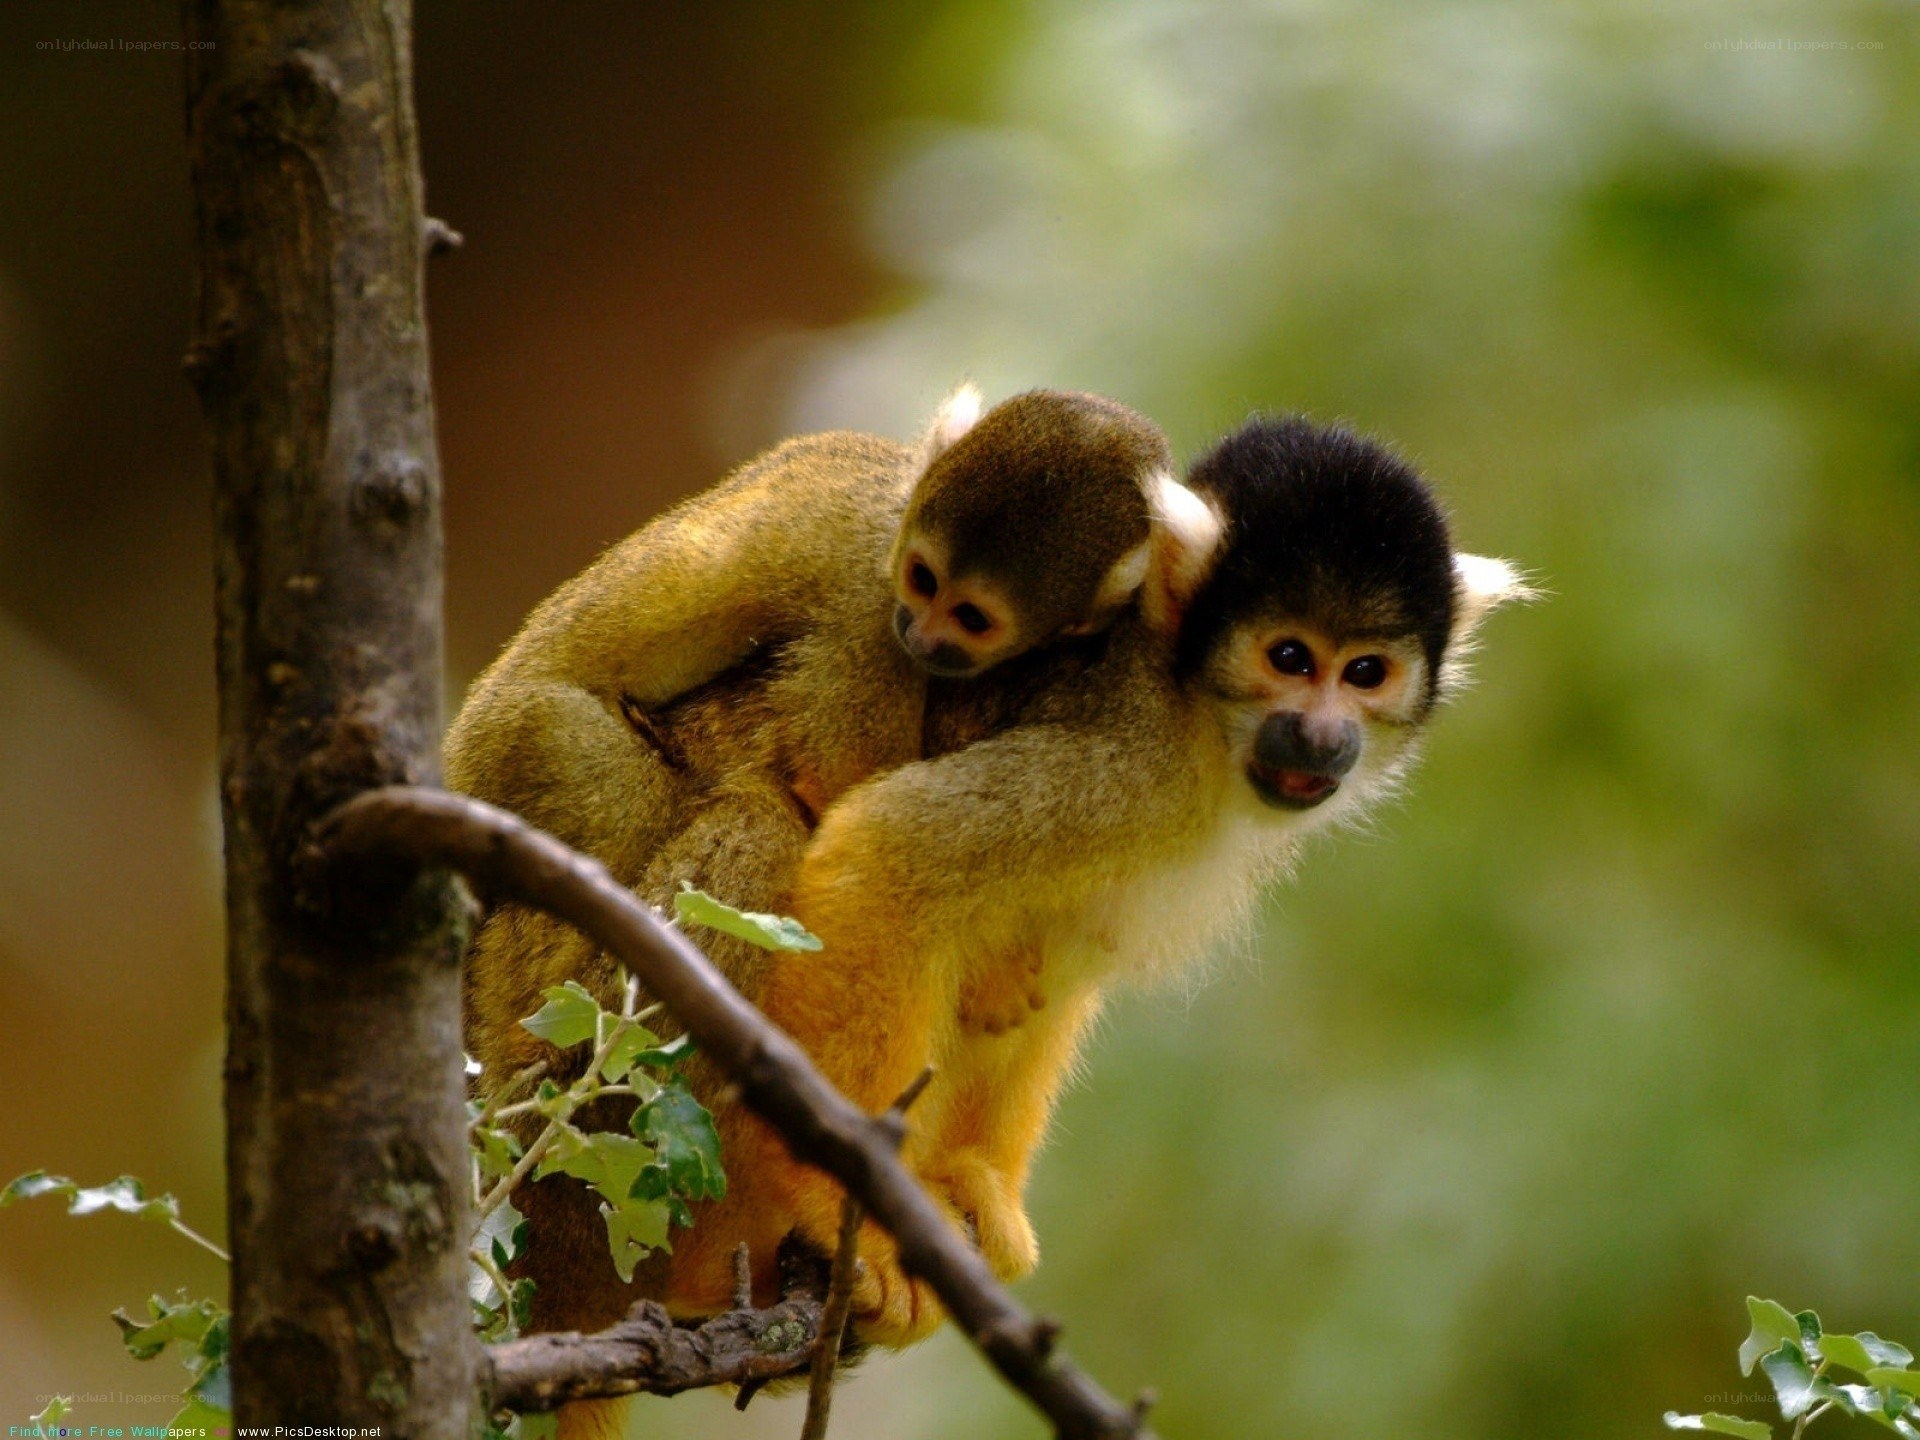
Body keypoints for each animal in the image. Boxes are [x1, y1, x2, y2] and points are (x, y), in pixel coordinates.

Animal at [686, 415, 1531, 1346]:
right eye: (1289, 657)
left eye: (1366, 673)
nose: (1322, 736)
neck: (1196, 715)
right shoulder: (1128, 765)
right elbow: (888, 852)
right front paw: (843, 1201)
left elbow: (1049, 963)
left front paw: (973, 1182)